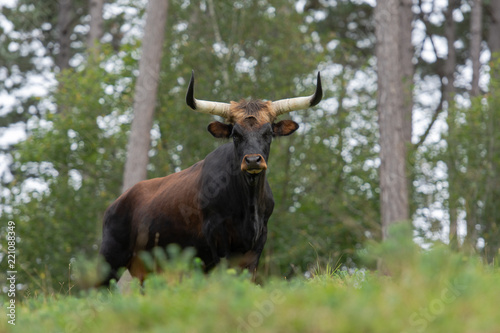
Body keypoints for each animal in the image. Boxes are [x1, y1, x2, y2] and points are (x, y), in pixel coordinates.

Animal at [98, 71, 324, 284]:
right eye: (235, 134)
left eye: (268, 132)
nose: (252, 160)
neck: (248, 206)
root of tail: (116, 204)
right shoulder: (217, 238)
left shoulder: (257, 243)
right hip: (109, 260)